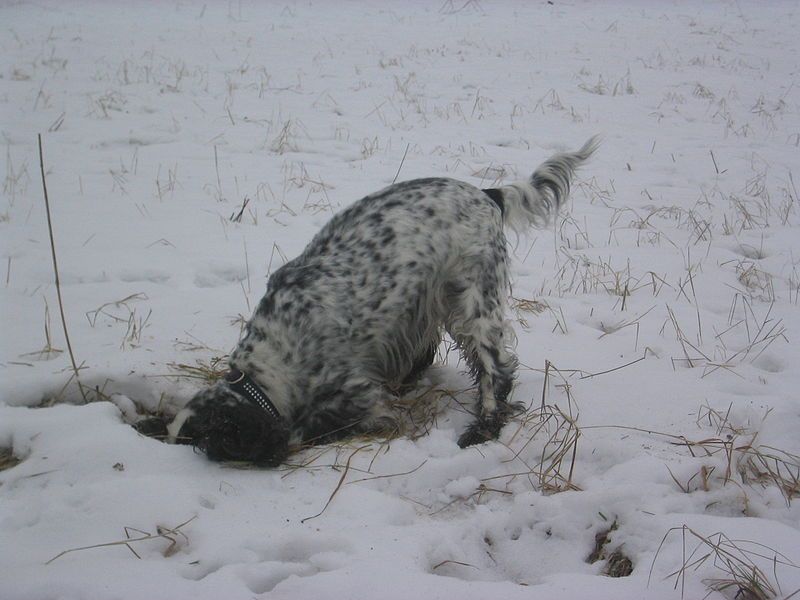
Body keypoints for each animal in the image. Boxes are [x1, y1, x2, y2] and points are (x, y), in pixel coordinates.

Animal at [141, 138, 596, 466]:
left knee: (495, 369)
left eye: (210, 446)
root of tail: (486, 193)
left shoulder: (357, 395)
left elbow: (315, 425)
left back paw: (481, 428)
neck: (275, 354)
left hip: (472, 300)